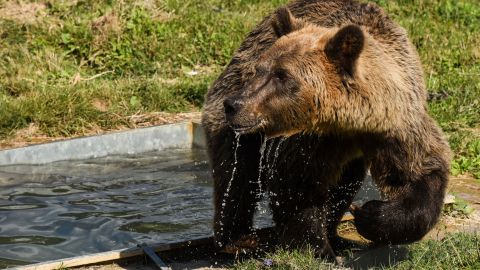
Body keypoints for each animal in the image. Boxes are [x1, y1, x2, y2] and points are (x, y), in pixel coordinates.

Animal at [201, 0, 452, 255]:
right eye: (259, 70)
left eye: (282, 75)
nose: (235, 104)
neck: (351, 122)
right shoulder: (309, 140)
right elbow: (297, 185)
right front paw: (318, 248)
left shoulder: (395, 128)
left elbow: (420, 171)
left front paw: (369, 213)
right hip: (233, 112)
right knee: (236, 174)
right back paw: (239, 239)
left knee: (345, 180)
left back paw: (339, 237)